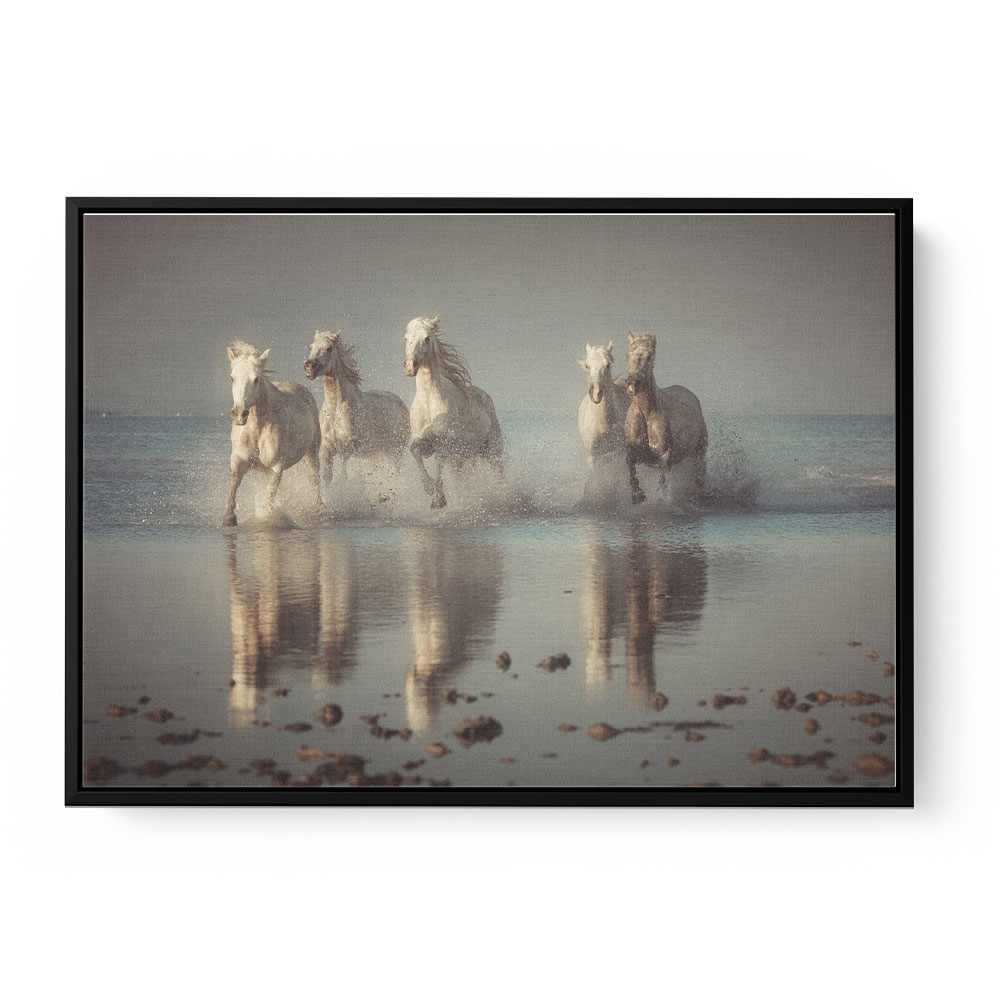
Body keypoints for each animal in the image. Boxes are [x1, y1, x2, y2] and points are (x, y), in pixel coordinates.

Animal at [225, 342, 322, 528]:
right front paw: (229, 517)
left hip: (311, 453)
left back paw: (320, 509)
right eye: (232, 378)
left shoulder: (276, 466)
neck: (258, 428)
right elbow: (234, 482)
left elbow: (269, 496)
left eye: (256, 379)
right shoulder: (239, 459)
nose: (239, 414)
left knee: (315, 481)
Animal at [306, 328, 412, 484]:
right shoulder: (327, 449)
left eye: (329, 348)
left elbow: (343, 476)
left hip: (395, 453)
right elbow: (327, 478)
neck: (335, 410)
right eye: (310, 347)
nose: (309, 366)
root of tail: (401, 404)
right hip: (378, 454)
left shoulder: (346, 449)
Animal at [402, 316, 504, 512]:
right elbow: (415, 450)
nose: (411, 366)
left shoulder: (446, 441)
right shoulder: (424, 440)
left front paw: (438, 498)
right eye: (406, 338)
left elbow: (440, 459)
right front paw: (430, 490)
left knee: (498, 477)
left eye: (427, 338)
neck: (430, 403)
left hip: (492, 451)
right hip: (464, 458)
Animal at [620, 332, 708, 508]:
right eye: (628, 354)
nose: (632, 384)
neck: (647, 413)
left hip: (700, 450)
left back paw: (696, 497)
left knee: (699, 474)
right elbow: (630, 461)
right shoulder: (637, 451)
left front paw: (661, 500)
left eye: (649, 356)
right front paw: (637, 495)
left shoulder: (664, 455)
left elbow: (662, 481)